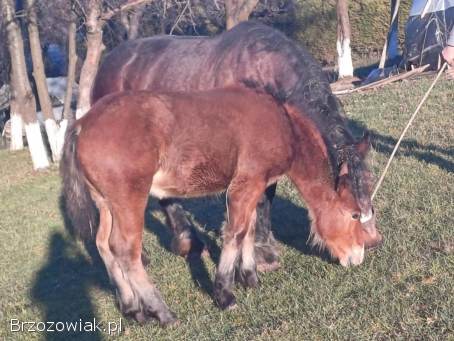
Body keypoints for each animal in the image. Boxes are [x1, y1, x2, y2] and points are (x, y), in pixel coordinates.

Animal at [89, 20, 380, 270]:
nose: (368, 247)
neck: (261, 74)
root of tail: (110, 62)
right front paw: (263, 256)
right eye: (353, 214)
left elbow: (266, 197)